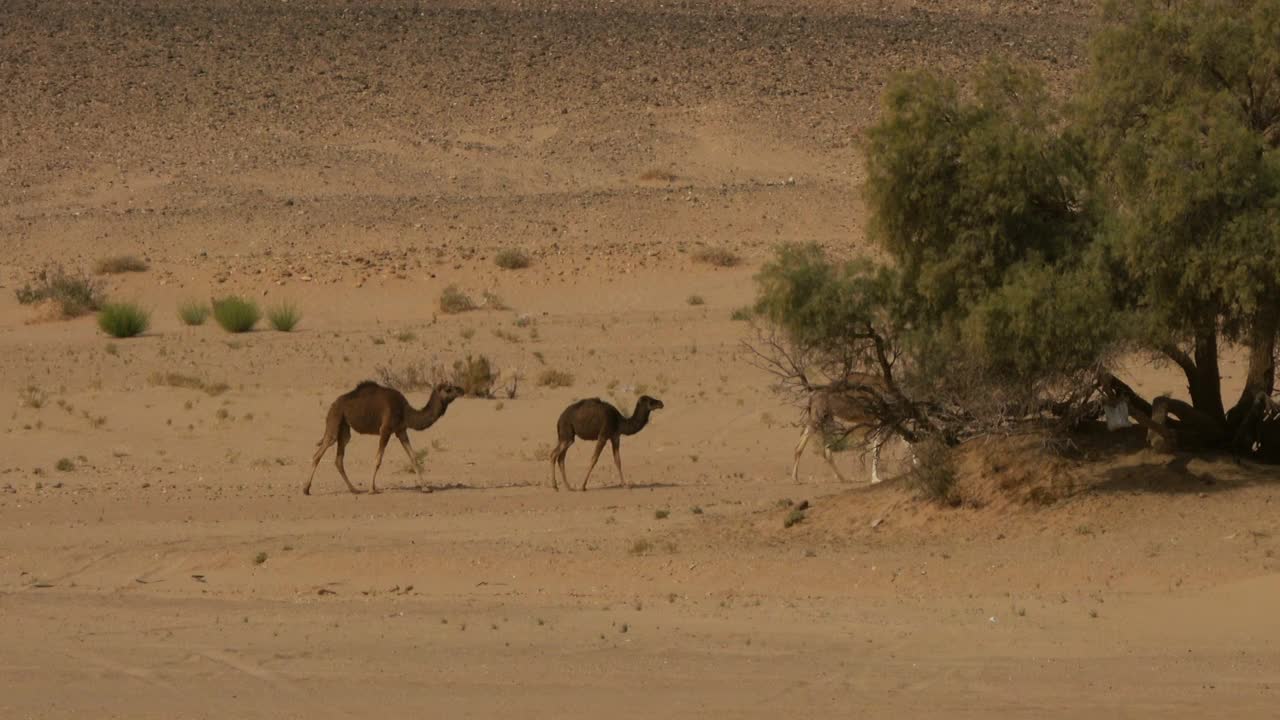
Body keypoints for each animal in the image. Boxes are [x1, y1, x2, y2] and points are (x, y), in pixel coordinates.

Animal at [304, 381, 465, 491]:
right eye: (448, 389)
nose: (462, 390)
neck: (406, 411)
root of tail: (333, 404)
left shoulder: (401, 430)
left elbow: (413, 457)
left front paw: (426, 488)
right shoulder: (386, 429)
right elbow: (378, 460)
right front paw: (371, 489)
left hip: (344, 427)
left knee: (339, 457)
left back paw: (354, 489)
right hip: (335, 418)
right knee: (320, 452)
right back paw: (306, 489)